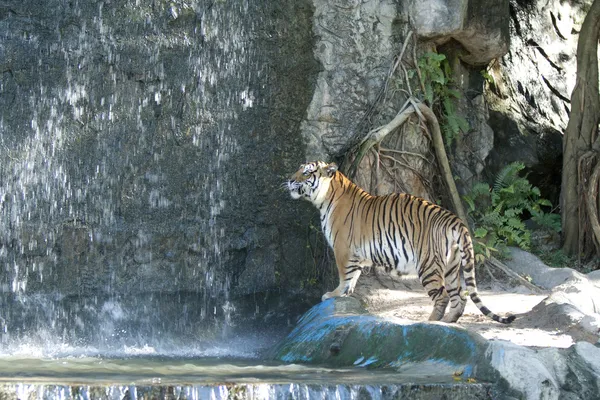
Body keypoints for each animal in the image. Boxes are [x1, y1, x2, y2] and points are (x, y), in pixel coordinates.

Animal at [288, 161, 516, 324]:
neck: (327, 197)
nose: (289, 180)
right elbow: (353, 276)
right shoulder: (356, 254)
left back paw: (431, 321)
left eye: (306, 173)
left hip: (428, 265)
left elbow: (344, 276)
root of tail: (454, 219)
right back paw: (449, 321)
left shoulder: (342, 249)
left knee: (442, 296)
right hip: (452, 266)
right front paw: (347, 294)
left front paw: (333, 294)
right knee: (460, 296)